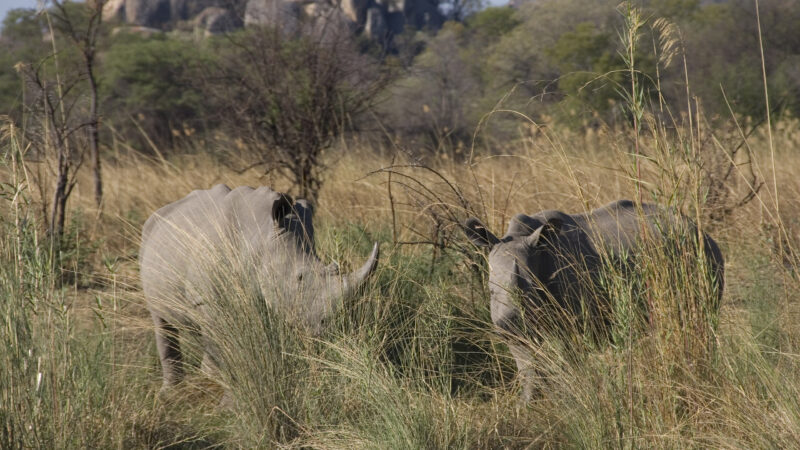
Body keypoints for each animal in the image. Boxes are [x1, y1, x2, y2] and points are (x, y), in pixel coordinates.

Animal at [140, 184, 379, 396]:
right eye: (300, 277)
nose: (328, 328)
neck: (260, 237)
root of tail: (161, 211)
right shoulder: (207, 298)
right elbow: (220, 343)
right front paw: (218, 382)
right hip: (148, 242)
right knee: (161, 319)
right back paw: (170, 392)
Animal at [464, 200, 724, 400]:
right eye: (490, 292)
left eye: (531, 290)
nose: (508, 326)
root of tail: (697, 227)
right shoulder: (516, 331)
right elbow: (527, 369)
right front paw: (527, 406)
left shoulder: (571, 323)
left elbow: (569, 364)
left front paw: (575, 399)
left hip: (700, 254)